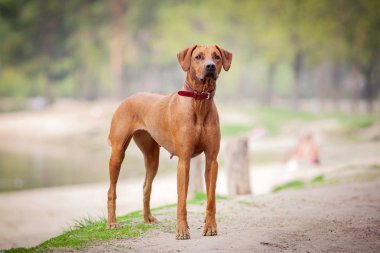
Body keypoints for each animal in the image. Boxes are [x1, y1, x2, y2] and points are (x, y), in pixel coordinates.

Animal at [106, 44, 232, 240]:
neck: (199, 102)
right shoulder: (184, 160)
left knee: (146, 186)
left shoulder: (212, 160)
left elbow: (211, 199)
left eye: (216, 57)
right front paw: (182, 230)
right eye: (198, 56)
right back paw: (112, 222)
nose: (210, 66)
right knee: (111, 190)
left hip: (152, 157)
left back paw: (148, 217)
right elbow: (181, 201)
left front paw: (210, 226)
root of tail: (128, 98)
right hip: (118, 152)